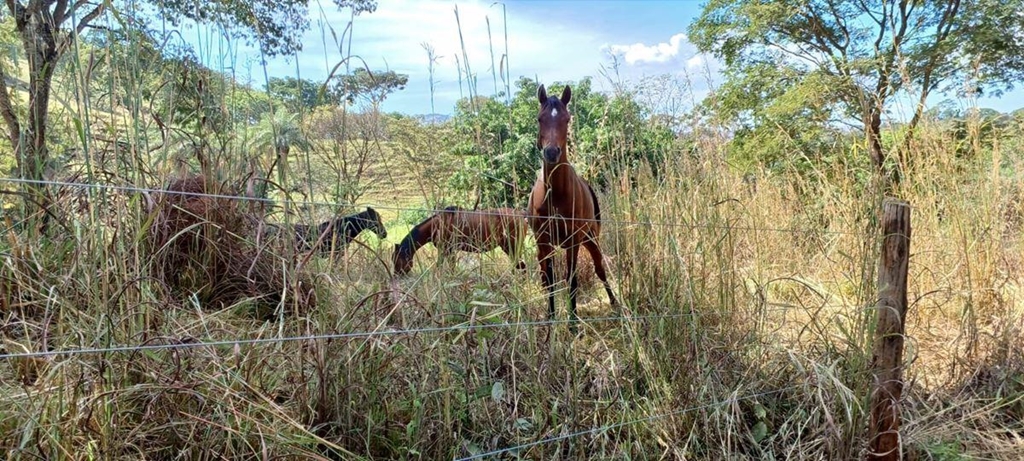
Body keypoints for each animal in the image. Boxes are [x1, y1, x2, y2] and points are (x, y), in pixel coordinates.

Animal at [391, 206, 528, 274]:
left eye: (397, 260)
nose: (396, 275)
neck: (438, 224)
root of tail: (522, 215)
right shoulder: (447, 251)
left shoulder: (448, 250)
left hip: (512, 247)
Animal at [528, 84, 614, 329]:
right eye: (539, 118)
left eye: (566, 119)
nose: (551, 152)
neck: (556, 194)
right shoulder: (543, 242)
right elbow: (549, 281)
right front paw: (550, 318)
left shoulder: (573, 242)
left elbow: (572, 279)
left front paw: (573, 322)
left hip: (591, 239)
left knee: (600, 269)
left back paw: (615, 304)